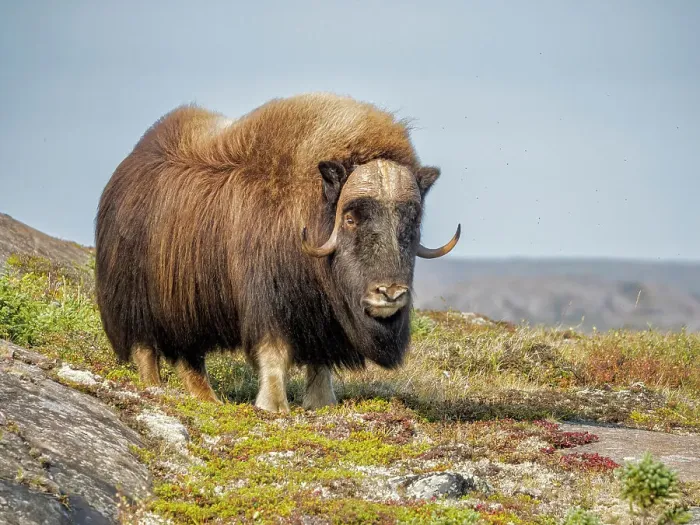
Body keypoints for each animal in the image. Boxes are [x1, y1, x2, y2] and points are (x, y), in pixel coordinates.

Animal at [94, 93, 460, 413]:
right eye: (351, 218)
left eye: (412, 219)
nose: (390, 294)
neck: (309, 204)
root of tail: (125, 169)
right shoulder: (268, 301)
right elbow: (275, 351)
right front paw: (274, 406)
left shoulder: (321, 315)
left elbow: (320, 360)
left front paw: (322, 403)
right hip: (136, 301)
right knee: (146, 347)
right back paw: (153, 388)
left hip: (188, 309)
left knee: (190, 357)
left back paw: (208, 399)